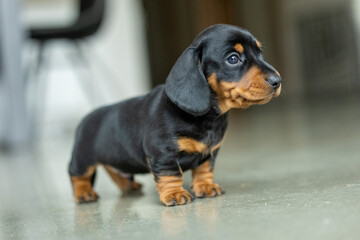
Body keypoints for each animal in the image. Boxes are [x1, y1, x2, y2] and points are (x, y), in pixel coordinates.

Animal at [68, 23, 282, 205]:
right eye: (233, 59)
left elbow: (204, 170)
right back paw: (84, 193)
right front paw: (175, 194)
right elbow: (171, 175)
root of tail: (86, 118)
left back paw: (128, 185)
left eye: (260, 53)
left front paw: (205, 187)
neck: (208, 118)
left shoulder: (209, 153)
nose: (277, 80)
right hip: (83, 158)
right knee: (77, 175)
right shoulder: (164, 154)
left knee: (115, 171)